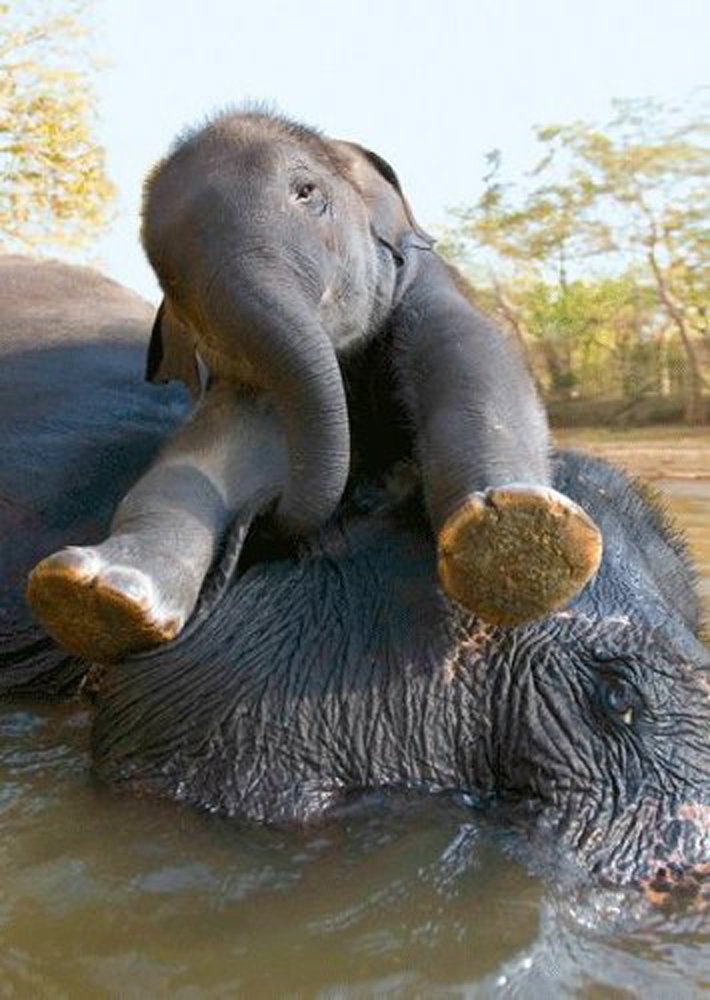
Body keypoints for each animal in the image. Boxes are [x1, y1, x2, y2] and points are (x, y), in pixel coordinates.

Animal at [26, 109, 602, 663]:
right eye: (166, 275)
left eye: (307, 193)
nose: (265, 519)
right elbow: (209, 450)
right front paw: (95, 591)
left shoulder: (427, 285)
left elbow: (474, 364)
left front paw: (522, 535)